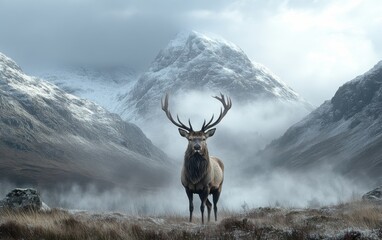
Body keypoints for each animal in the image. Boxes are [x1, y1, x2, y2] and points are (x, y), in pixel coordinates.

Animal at [162, 93, 233, 224]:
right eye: (189, 139)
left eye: (204, 138)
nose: (197, 147)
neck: (195, 177)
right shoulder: (187, 187)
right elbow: (191, 207)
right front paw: (191, 222)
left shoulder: (206, 187)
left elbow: (201, 207)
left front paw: (203, 223)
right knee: (210, 205)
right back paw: (209, 221)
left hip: (219, 187)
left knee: (215, 206)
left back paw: (214, 221)